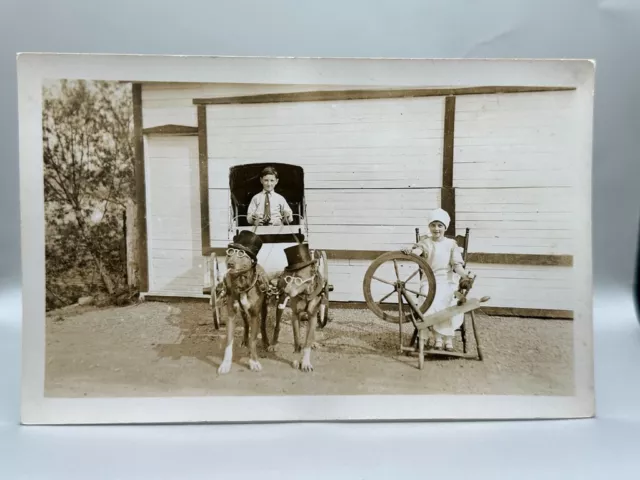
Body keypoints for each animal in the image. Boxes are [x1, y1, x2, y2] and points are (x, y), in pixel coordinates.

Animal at [218, 230, 272, 376]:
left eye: (241, 254)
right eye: (229, 253)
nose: (230, 264)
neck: (242, 284)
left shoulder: (254, 315)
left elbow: (253, 341)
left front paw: (254, 362)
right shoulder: (231, 315)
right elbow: (229, 342)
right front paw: (225, 364)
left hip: (264, 308)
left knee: (263, 325)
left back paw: (266, 342)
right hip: (242, 311)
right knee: (246, 324)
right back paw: (244, 340)